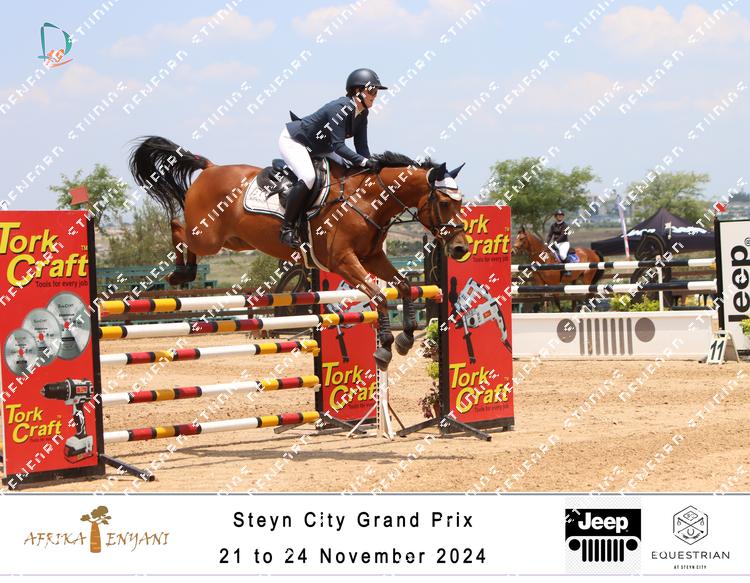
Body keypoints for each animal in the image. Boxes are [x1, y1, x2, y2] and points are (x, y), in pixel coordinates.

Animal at [128, 136, 469, 370]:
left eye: (461, 201)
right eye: (444, 202)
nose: (460, 248)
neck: (366, 199)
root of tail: (211, 168)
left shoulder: (373, 257)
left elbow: (405, 286)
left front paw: (405, 338)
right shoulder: (343, 261)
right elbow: (381, 295)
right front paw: (385, 347)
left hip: (235, 240)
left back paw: (184, 271)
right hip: (207, 237)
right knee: (178, 226)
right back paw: (180, 273)